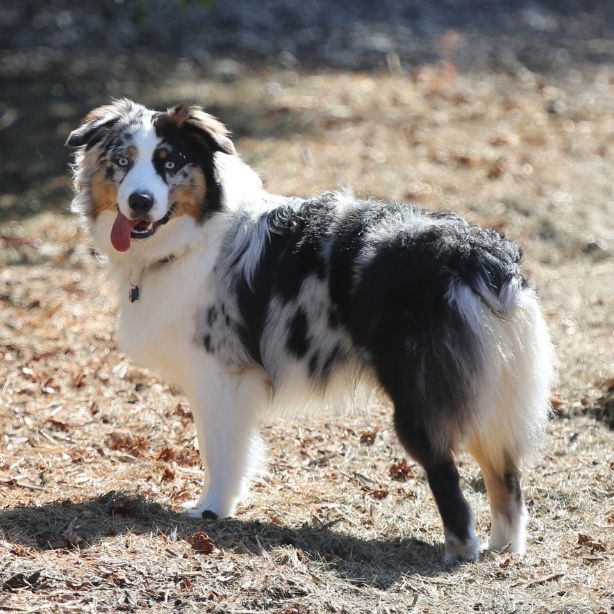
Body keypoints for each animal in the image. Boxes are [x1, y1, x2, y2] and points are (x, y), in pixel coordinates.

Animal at [65, 98, 556, 564]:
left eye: (169, 163)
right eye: (123, 160)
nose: (140, 202)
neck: (195, 236)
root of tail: (479, 254)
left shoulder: (218, 375)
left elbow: (218, 451)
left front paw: (210, 511)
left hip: (420, 397)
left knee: (448, 476)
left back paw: (461, 549)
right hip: (490, 391)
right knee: (506, 478)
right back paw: (504, 548)